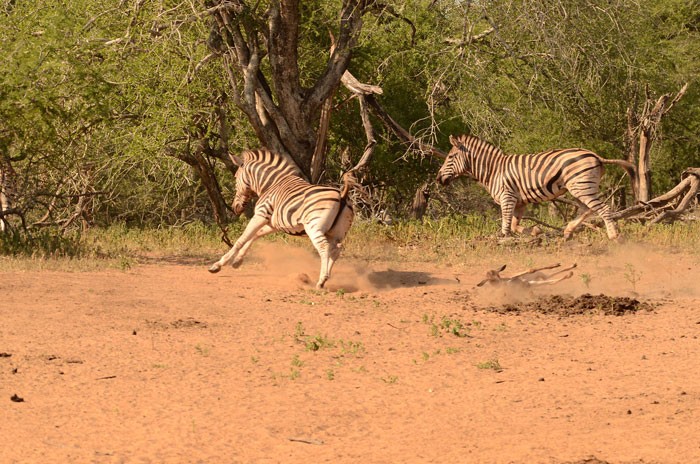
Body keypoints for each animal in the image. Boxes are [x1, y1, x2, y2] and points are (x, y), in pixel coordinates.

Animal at [205, 149, 352, 288]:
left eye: (235, 177)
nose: (235, 208)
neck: (271, 184)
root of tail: (342, 195)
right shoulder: (274, 224)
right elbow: (256, 235)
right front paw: (237, 261)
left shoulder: (260, 214)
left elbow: (242, 239)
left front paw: (218, 265)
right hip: (336, 233)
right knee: (336, 250)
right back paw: (326, 278)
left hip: (314, 227)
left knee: (324, 247)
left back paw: (321, 281)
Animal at [434, 133, 636, 239]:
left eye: (450, 157)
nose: (437, 179)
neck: (494, 170)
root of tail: (596, 156)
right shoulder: (519, 202)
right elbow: (515, 224)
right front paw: (535, 231)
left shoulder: (507, 197)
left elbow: (506, 224)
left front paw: (504, 239)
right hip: (580, 187)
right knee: (587, 209)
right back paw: (569, 230)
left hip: (582, 187)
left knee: (603, 209)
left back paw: (613, 235)